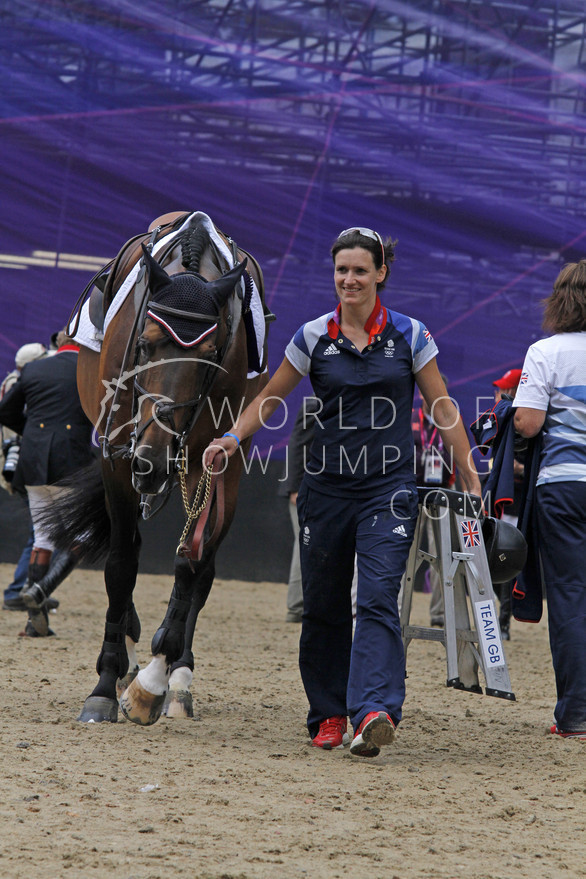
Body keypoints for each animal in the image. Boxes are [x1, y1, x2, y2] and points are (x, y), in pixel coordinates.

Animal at [68, 211, 270, 720]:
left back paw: (178, 680)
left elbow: (189, 562)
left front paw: (155, 681)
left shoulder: (212, 459)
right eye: (143, 343)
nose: (153, 459)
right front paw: (106, 682)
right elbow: (121, 563)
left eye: (210, 356)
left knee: (205, 565)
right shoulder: (117, 458)